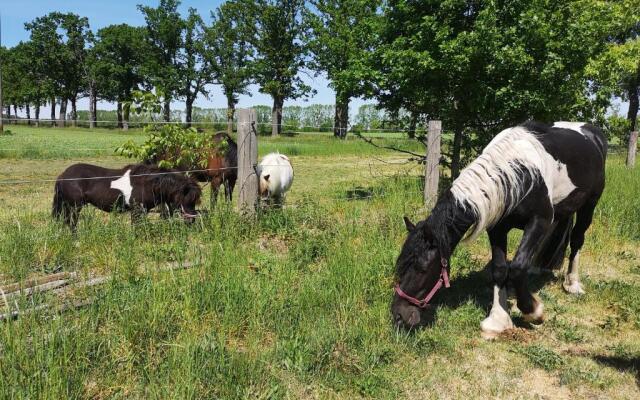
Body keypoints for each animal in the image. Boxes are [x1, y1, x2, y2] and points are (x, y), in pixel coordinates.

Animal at [54, 163, 201, 231]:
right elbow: (136, 226)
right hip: (74, 207)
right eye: (186, 199)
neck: (146, 183)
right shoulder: (137, 210)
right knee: (72, 223)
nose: (191, 221)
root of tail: (63, 175)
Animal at [392, 120, 608, 336]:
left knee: (577, 239)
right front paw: (498, 319)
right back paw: (537, 270)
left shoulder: (540, 220)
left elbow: (517, 267)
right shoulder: (497, 228)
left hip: (590, 204)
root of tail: (592, 133)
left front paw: (534, 311)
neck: (518, 175)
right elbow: (500, 268)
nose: (398, 316)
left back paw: (573, 284)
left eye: (422, 268)